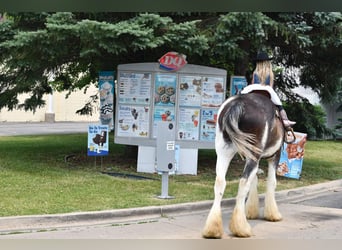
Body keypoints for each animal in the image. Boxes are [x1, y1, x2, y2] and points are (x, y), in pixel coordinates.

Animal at [202, 90, 284, 238]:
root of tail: (238, 103)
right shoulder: (275, 156)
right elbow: (271, 182)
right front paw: (272, 214)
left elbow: (254, 180)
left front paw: (251, 211)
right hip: (253, 154)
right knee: (243, 183)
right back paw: (241, 227)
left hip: (224, 151)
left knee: (220, 182)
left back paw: (213, 228)